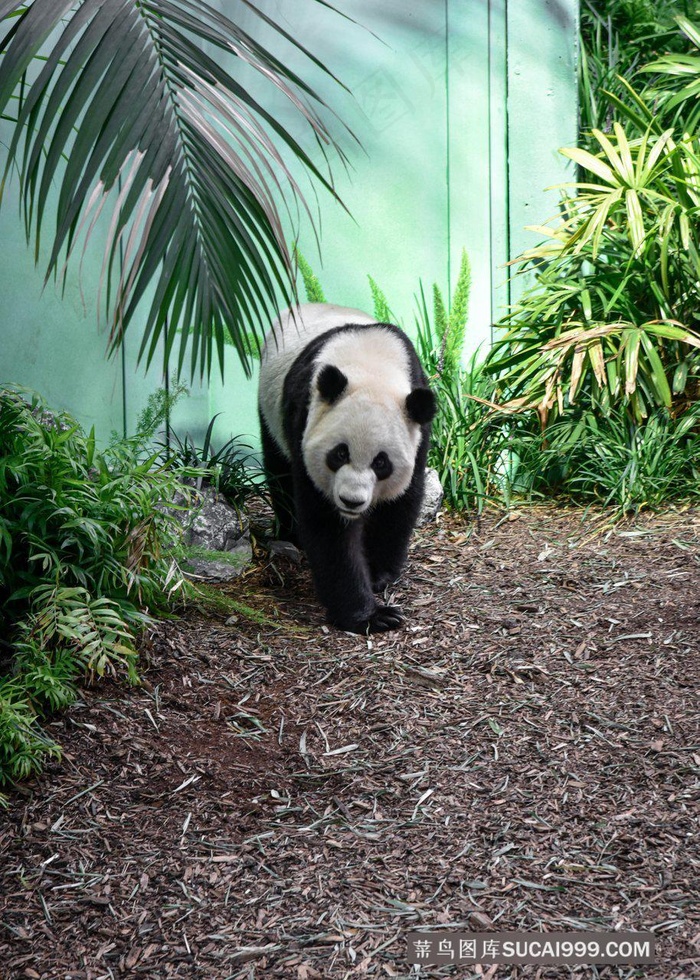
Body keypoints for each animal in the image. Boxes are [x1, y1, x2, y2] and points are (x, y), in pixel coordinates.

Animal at [258, 302, 438, 632]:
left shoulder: (418, 430)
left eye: (381, 463)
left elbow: (400, 502)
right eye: (340, 454)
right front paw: (372, 616)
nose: (351, 501)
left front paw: (378, 574)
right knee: (280, 470)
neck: (371, 367)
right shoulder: (304, 417)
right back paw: (291, 533)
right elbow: (328, 525)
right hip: (269, 408)